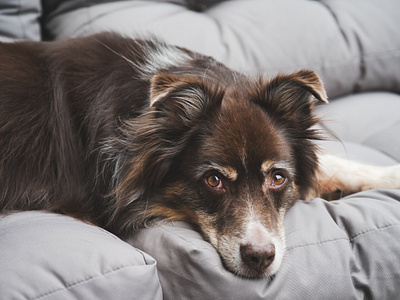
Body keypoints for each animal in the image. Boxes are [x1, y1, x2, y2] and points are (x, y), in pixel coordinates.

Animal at [0, 31, 400, 278]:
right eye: (213, 180)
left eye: (278, 177)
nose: (260, 258)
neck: (143, 116)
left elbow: (331, 163)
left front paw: (389, 174)